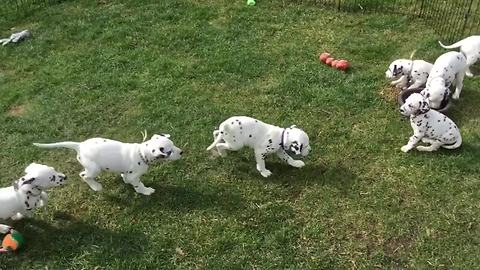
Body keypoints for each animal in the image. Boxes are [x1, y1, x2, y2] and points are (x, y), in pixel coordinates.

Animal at [33, 134, 183, 195]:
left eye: (173, 144)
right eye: (169, 152)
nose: (182, 152)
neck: (141, 153)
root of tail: (79, 145)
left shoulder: (128, 173)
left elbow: (125, 177)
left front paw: (124, 180)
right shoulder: (134, 176)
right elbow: (138, 185)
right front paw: (145, 191)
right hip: (94, 169)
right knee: (83, 175)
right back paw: (96, 187)